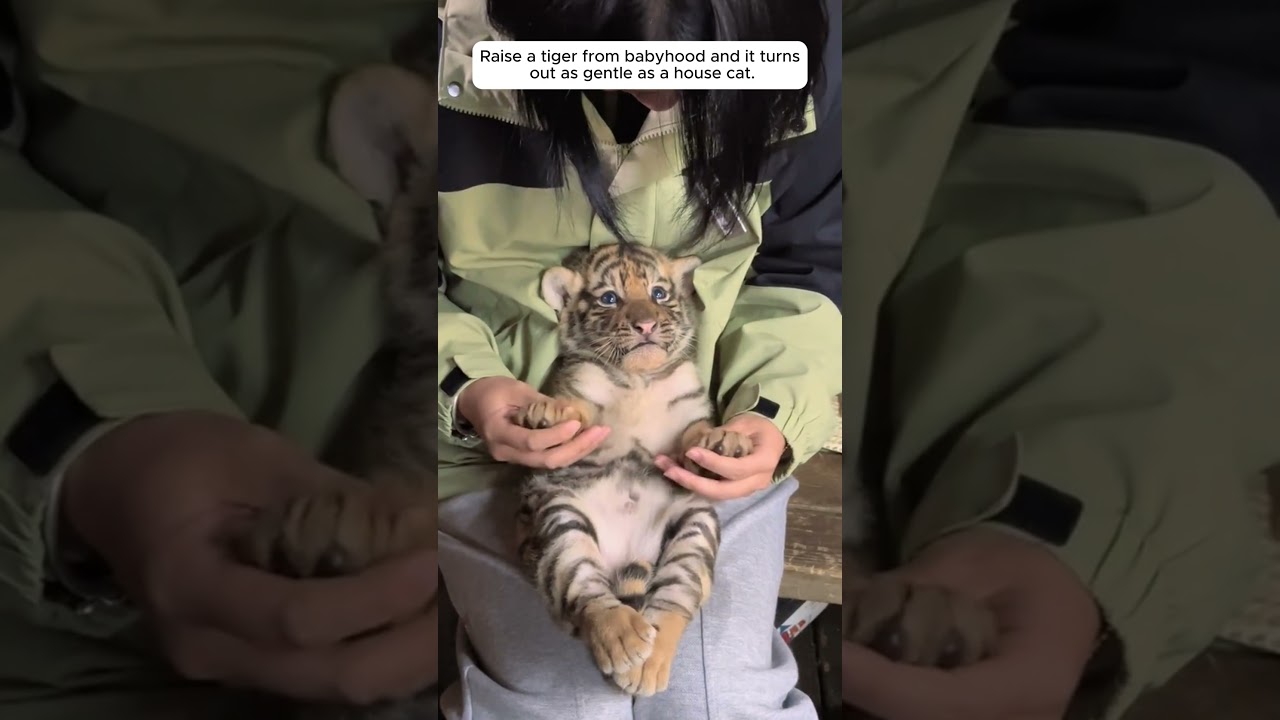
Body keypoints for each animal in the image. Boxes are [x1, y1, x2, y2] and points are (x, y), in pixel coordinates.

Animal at [511, 242, 752, 696]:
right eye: (609, 299)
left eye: (658, 293)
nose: (646, 325)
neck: (638, 377)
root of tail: (625, 554)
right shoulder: (582, 397)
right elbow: (572, 409)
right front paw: (546, 414)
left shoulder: (687, 423)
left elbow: (699, 434)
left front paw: (728, 442)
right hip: (562, 520)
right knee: (585, 588)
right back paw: (624, 642)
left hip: (696, 526)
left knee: (674, 600)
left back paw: (649, 662)